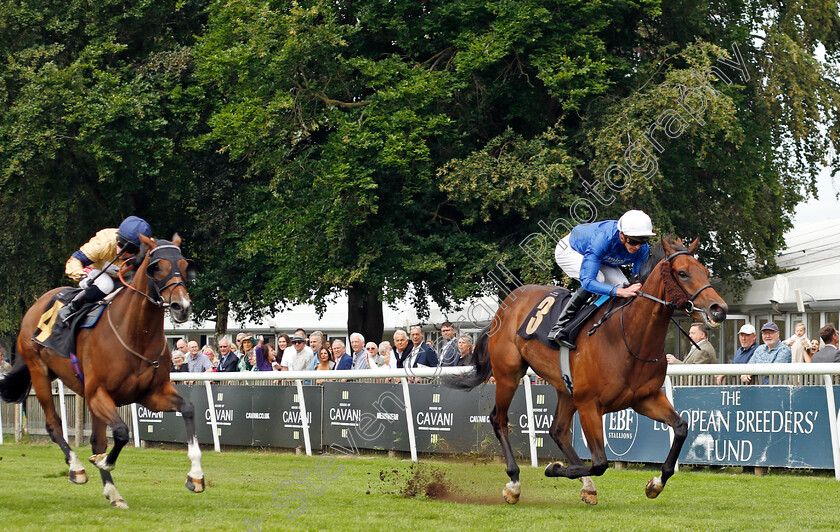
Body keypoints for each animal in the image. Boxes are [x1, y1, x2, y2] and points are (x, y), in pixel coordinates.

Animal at [0, 235, 203, 510]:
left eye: (183, 265)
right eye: (158, 267)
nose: (182, 306)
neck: (136, 332)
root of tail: (37, 304)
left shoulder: (151, 394)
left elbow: (188, 409)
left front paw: (196, 476)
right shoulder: (98, 393)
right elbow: (121, 433)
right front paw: (103, 460)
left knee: (96, 438)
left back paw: (113, 493)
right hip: (39, 372)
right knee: (54, 425)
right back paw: (76, 468)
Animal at [450, 236, 724, 502]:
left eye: (705, 271)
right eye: (682, 273)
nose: (718, 309)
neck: (628, 337)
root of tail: (506, 304)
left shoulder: (645, 398)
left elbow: (681, 427)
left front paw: (655, 483)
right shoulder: (590, 404)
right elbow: (600, 462)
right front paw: (553, 468)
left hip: (565, 388)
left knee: (558, 430)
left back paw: (587, 487)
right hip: (509, 374)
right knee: (500, 419)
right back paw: (514, 483)